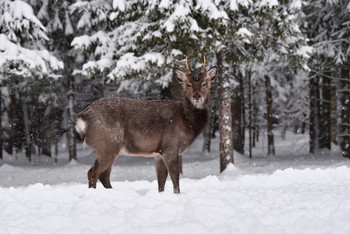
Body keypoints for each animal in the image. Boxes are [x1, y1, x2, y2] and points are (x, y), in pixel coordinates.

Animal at [76, 56, 216, 194]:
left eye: (204, 83)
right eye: (188, 84)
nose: (197, 96)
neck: (187, 122)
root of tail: (83, 118)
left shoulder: (158, 154)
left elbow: (161, 182)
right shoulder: (170, 147)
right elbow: (175, 179)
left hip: (109, 147)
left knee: (103, 175)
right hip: (107, 144)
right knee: (93, 173)